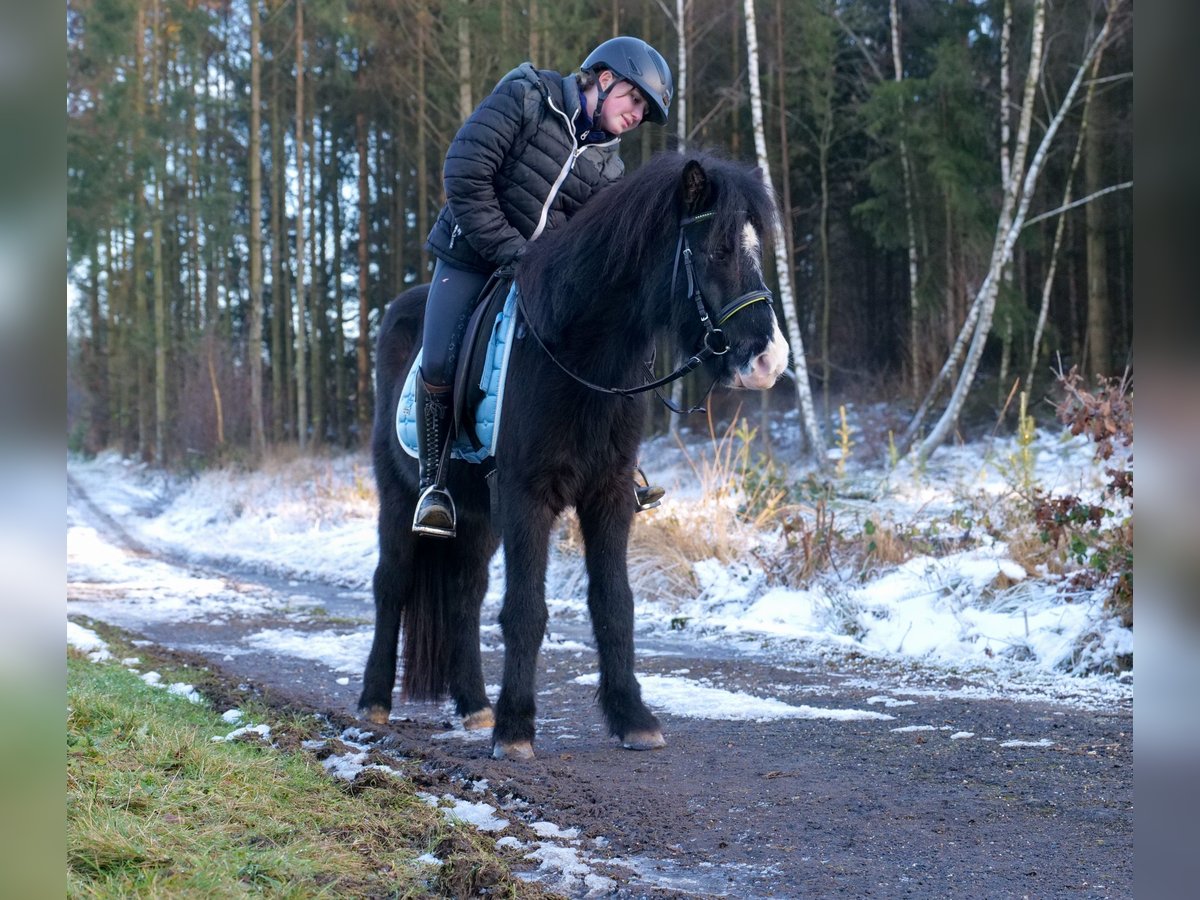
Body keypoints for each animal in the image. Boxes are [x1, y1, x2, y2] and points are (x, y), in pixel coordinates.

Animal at [355, 153, 787, 763]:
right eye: (718, 249)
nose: (770, 361)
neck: (577, 354)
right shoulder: (526, 496)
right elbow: (526, 610)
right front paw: (515, 729)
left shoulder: (608, 494)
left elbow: (614, 604)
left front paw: (633, 718)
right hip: (399, 494)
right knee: (391, 583)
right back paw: (375, 701)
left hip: (480, 516)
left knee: (465, 595)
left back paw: (474, 706)